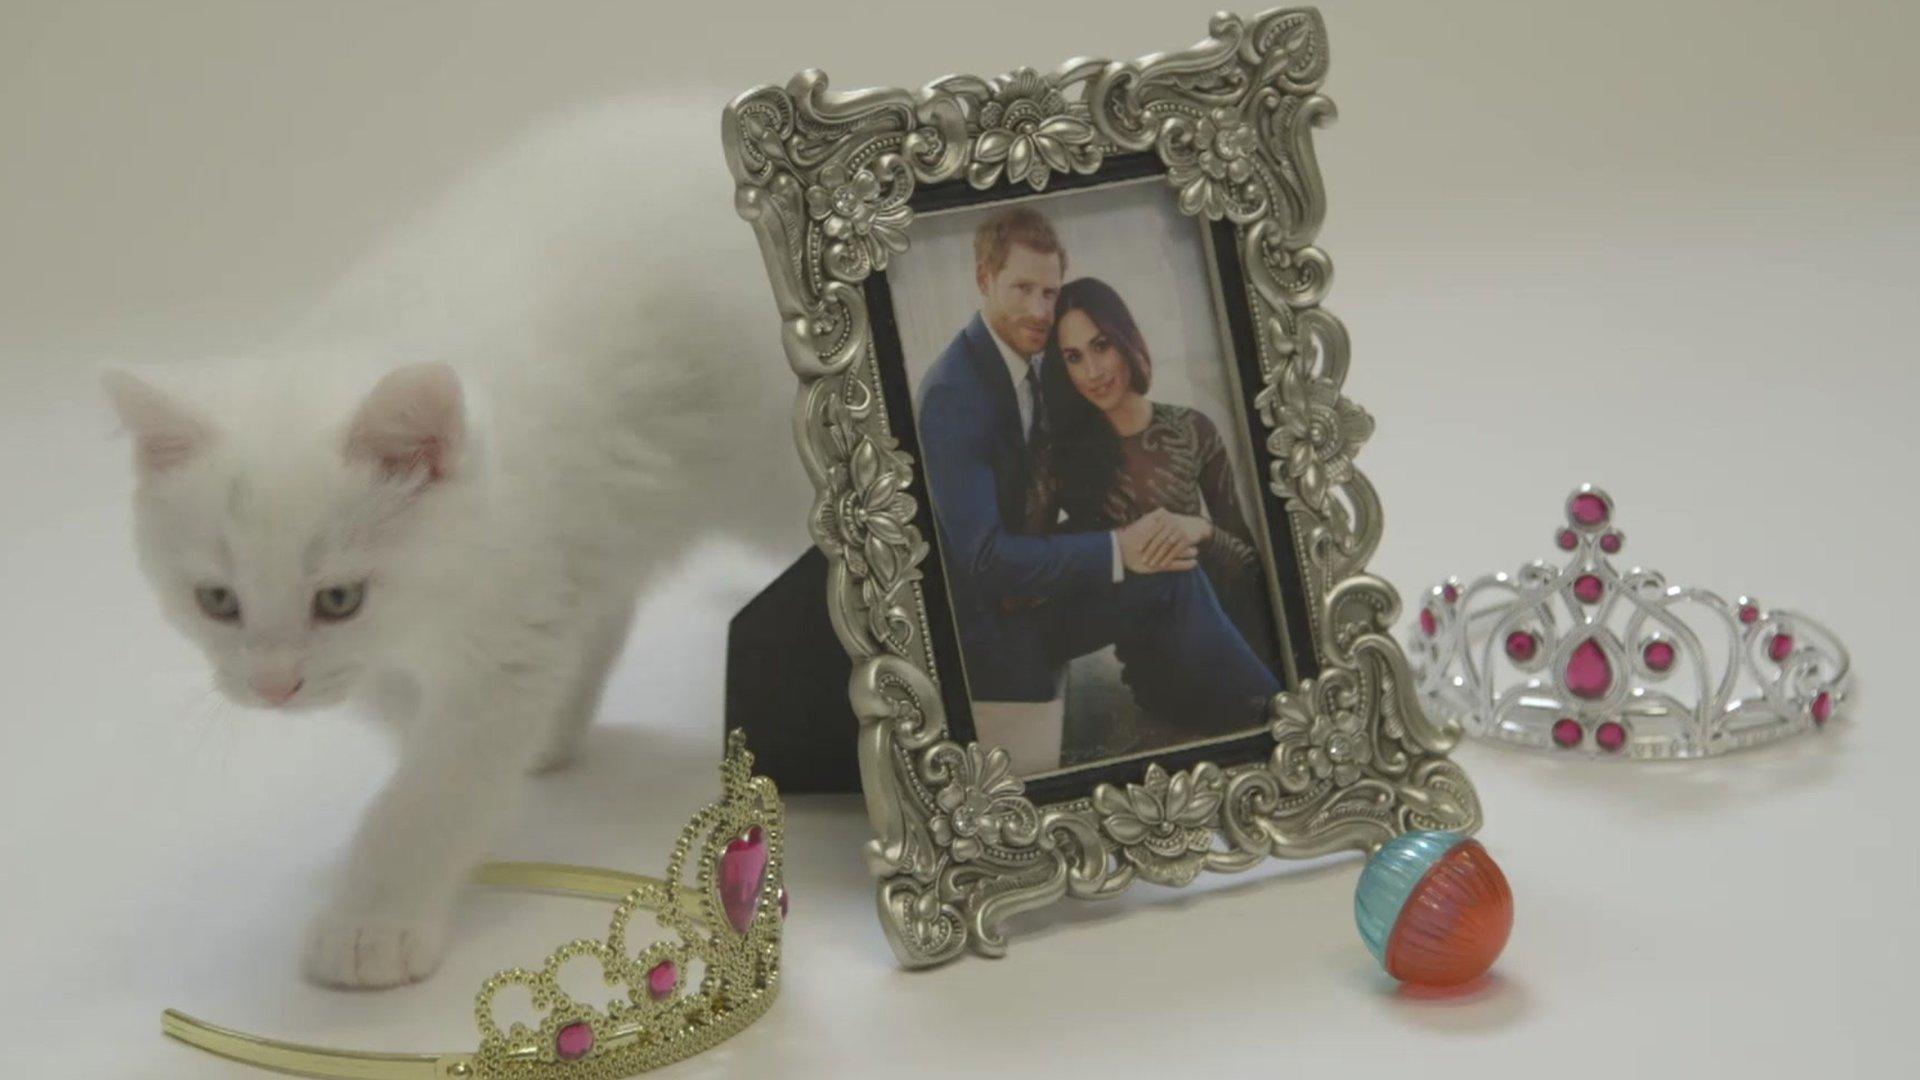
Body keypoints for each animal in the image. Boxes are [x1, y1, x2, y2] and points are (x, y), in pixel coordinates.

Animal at [101, 98, 806, 983]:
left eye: (339, 598)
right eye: (217, 601)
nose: (272, 687)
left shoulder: (509, 631)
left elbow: (437, 787)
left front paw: (375, 919)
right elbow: (415, 716)